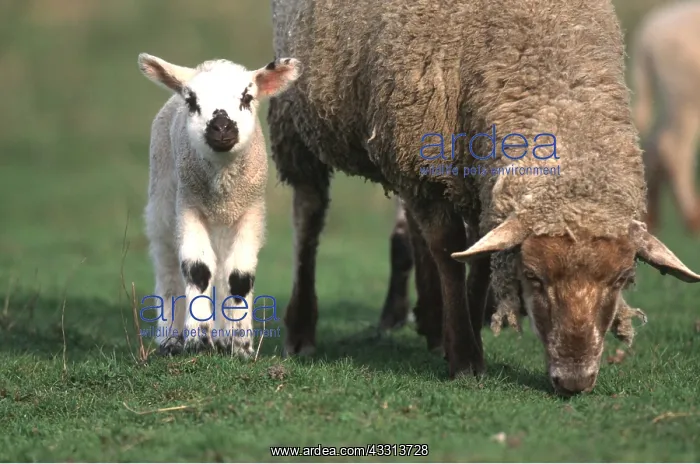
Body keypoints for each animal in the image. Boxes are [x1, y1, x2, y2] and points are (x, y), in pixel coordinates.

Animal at [137, 53, 301, 356]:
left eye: (247, 97)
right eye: (192, 101)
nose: (222, 127)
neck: (223, 191)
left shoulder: (251, 212)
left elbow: (239, 275)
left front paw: (240, 345)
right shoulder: (188, 206)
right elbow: (197, 269)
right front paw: (198, 340)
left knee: (224, 268)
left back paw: (224, 336)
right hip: (163, 201)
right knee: (167, 266)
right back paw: (170, 338)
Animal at [630, 0, 700, 234]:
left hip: (672, 97)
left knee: (655, 141)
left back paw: (651, 217)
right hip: (686, 96)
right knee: (674, 147)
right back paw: (693, 217)